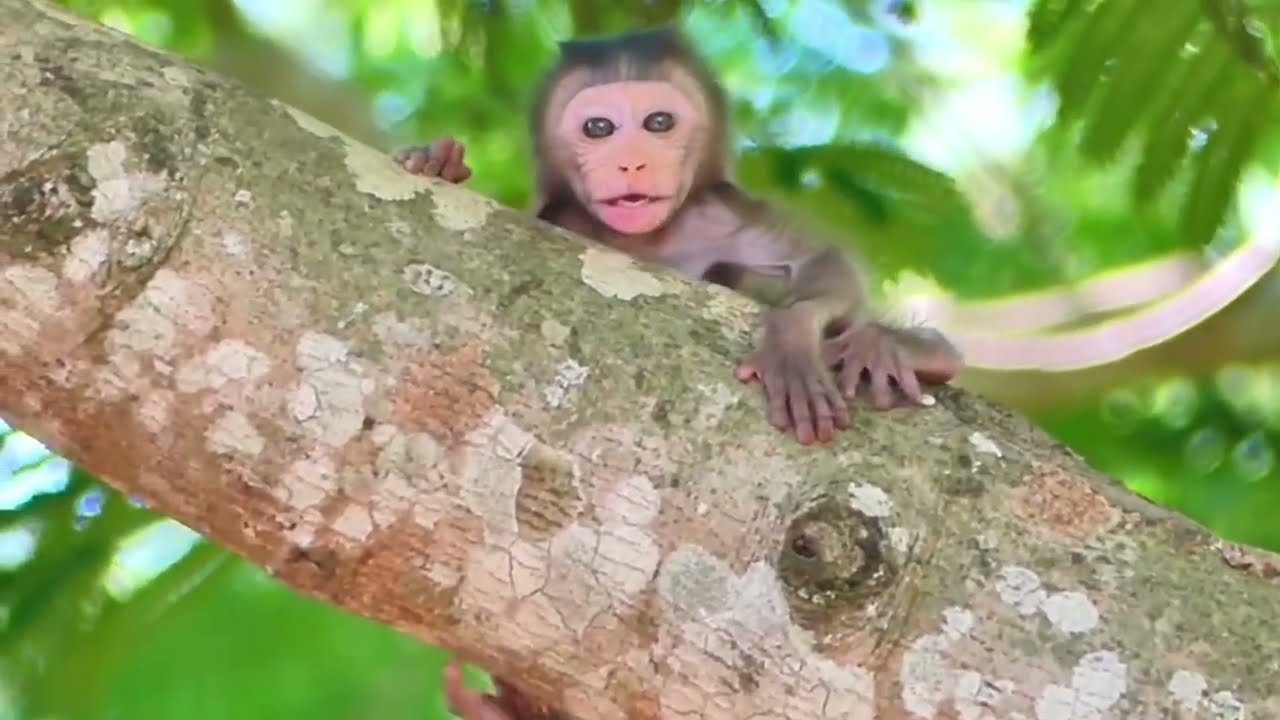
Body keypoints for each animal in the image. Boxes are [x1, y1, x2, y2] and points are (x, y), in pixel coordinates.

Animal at [395, 27, 963, 446]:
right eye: (599, 128)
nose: (632, 161)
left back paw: (897, 349)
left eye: (658, 122)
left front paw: (792, 337)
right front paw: (437, 164)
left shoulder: (718, 212)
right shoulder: (561, 215)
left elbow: (819, 259)